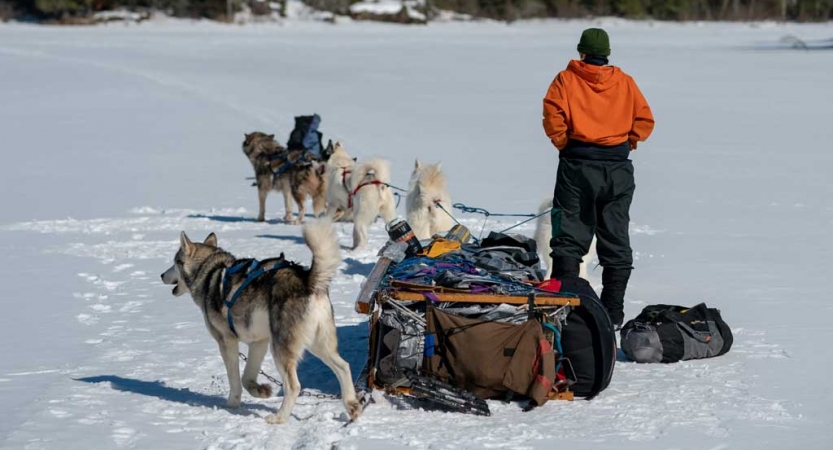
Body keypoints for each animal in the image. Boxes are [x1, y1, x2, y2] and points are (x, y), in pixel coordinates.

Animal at [161, 220, 360, 424]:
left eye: (174, 262)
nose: (161, 275)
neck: (208, 272)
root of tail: (308, 281)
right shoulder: (259, 342)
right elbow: (246, 377)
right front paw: (261, 391)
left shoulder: (227, 341)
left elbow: (235, 379)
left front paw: (231, 405)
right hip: (317, 344)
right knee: (344, 367)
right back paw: (352, 405)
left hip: (281, 349)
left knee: (293, 386)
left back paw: (279, 417)